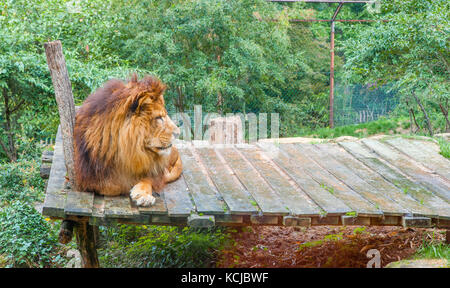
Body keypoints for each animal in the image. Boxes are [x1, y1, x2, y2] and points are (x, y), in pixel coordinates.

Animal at [73, 73, 182, 206]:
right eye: (159, 118)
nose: (178, 133)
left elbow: (149, 178)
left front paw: (143, 195)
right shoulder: (87, 177)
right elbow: (114, 186)